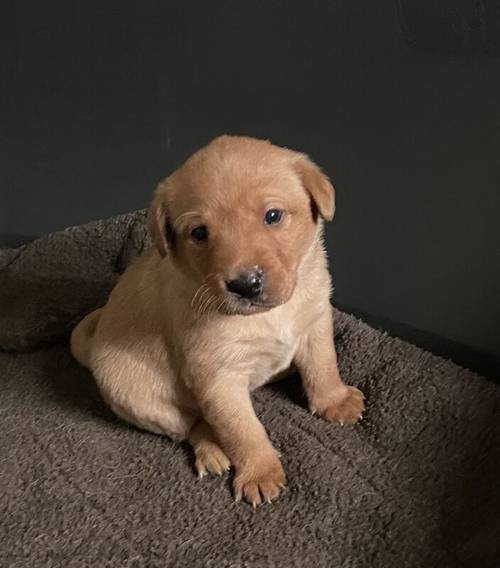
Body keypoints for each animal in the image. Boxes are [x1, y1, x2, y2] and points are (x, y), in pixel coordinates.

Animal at [71, 134, 364, 506]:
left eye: (273, 215)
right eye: (199, 233)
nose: (245, 285)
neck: (268, 316)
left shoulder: (315, 321)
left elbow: (323, 365)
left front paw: (334, 401)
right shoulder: (217, 376)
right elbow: (242, 429)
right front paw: (259, 472)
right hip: (134, 393)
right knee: (192, 425)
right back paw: (211, 450)